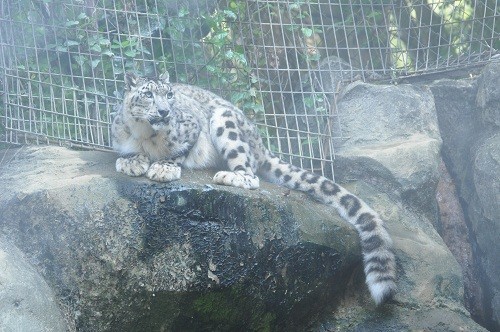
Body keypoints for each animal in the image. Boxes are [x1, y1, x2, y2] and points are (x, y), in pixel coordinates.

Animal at [111, 71, 396, 304]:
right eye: (148, 94)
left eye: (169, 95)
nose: (164, 112)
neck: (145, 134)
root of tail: (260, 142)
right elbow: (131, 152)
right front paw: (132, 162)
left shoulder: (192, 127)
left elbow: (179, 150)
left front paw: (163, 167)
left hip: (225, 122)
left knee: (250, 174)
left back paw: (229, 176)